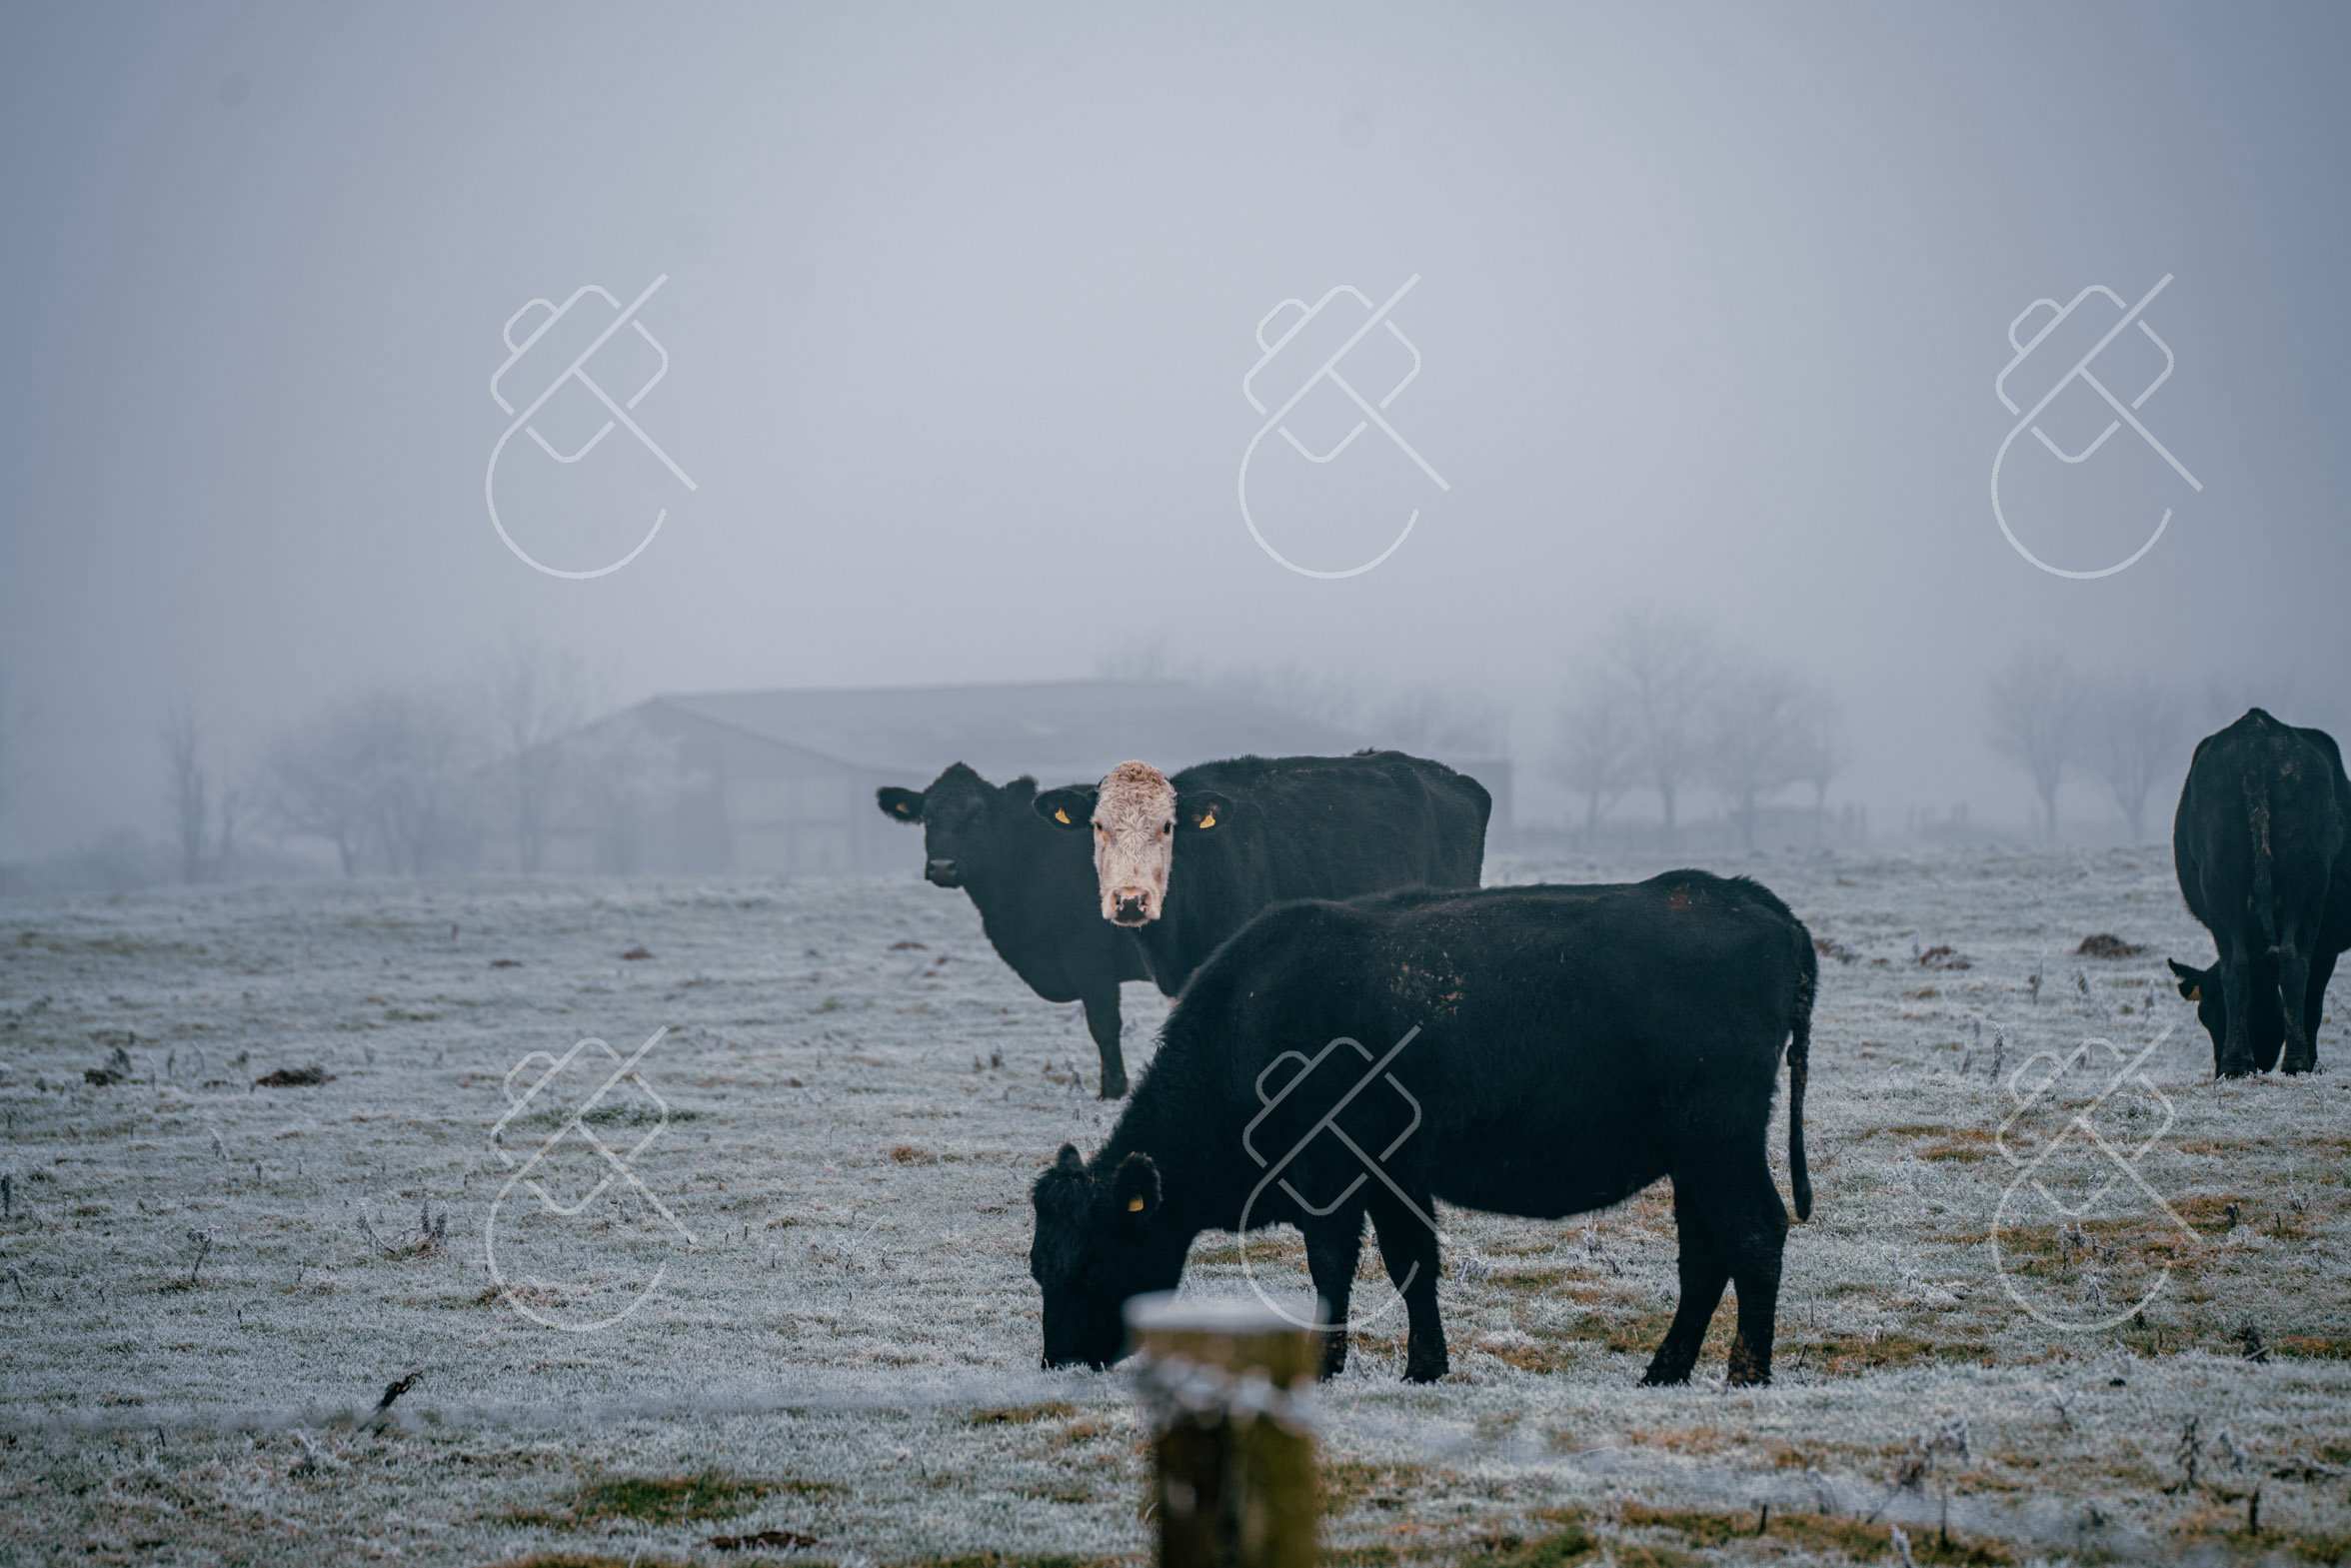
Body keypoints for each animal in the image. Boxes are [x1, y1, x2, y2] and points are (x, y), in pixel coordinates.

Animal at [877, 765, 1152, 1096]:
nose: (942, 866)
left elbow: (1104, 1026)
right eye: (927, 817)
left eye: (978, 815)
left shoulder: (1089, 959)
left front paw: (1113, 1091)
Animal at [1028, 871, 1816, 1387]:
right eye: (1039, 1264)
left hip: (1720, 1140)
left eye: (1085, 1264)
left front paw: (1327, 1365)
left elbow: (1335, 1266)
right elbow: (1413, 1263)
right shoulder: (1394, 1176)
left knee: (1755, 1232)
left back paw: (1746, 1373)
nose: (1059, 1360)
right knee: (1705, 1254)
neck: (1250, 1022)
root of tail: (1745, 896)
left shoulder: (1331, 1178)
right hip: (1695, 1156)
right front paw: (1425, 1366)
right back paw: (1665, 1371)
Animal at [2168, 708, 2351, 1077]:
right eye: (2206, 1017)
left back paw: (2236, 1064)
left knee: (2236, 966)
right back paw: (2293, 1063)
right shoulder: (2326, 945)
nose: (2216, 1068)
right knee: (2293, 961)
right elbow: (2313, 1003)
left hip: (2221, 881)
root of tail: (2257, 733)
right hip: (2304, 885)